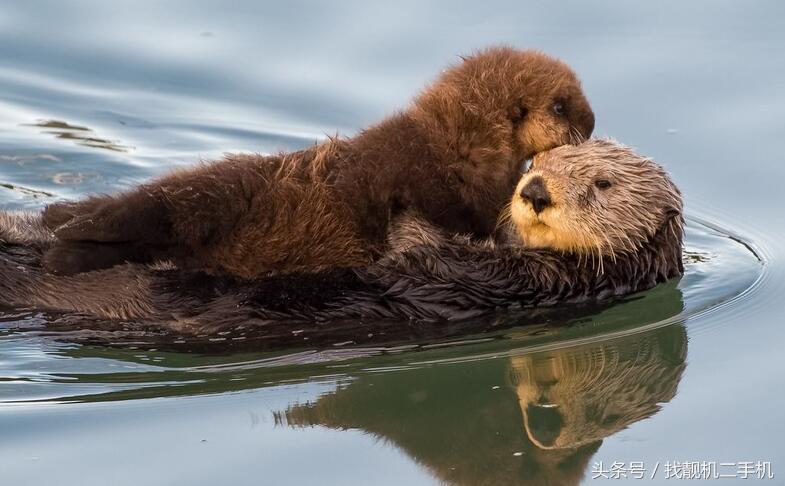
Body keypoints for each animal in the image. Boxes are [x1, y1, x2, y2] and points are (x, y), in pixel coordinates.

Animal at [36, 48, 596, 280]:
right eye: (561, 106)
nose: (591, 123)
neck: (460, 143)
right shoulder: (450, 189)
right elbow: (466, 221)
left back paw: (58, 219)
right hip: (204, 204)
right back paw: (67, 242)